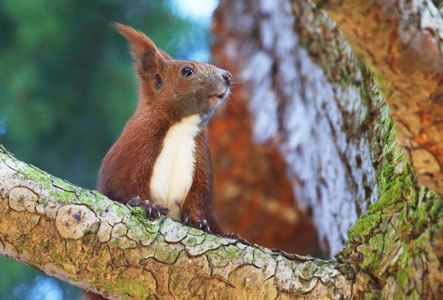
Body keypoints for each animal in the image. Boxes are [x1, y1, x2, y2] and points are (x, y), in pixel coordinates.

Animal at [96, 24, 231, 234]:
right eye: (186, 71)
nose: (228, 76)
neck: (181, 128)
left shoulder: (201, 163)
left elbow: (199, 198)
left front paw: (199, 221)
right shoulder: (134, 150)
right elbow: (124, 187)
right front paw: (146, 205)